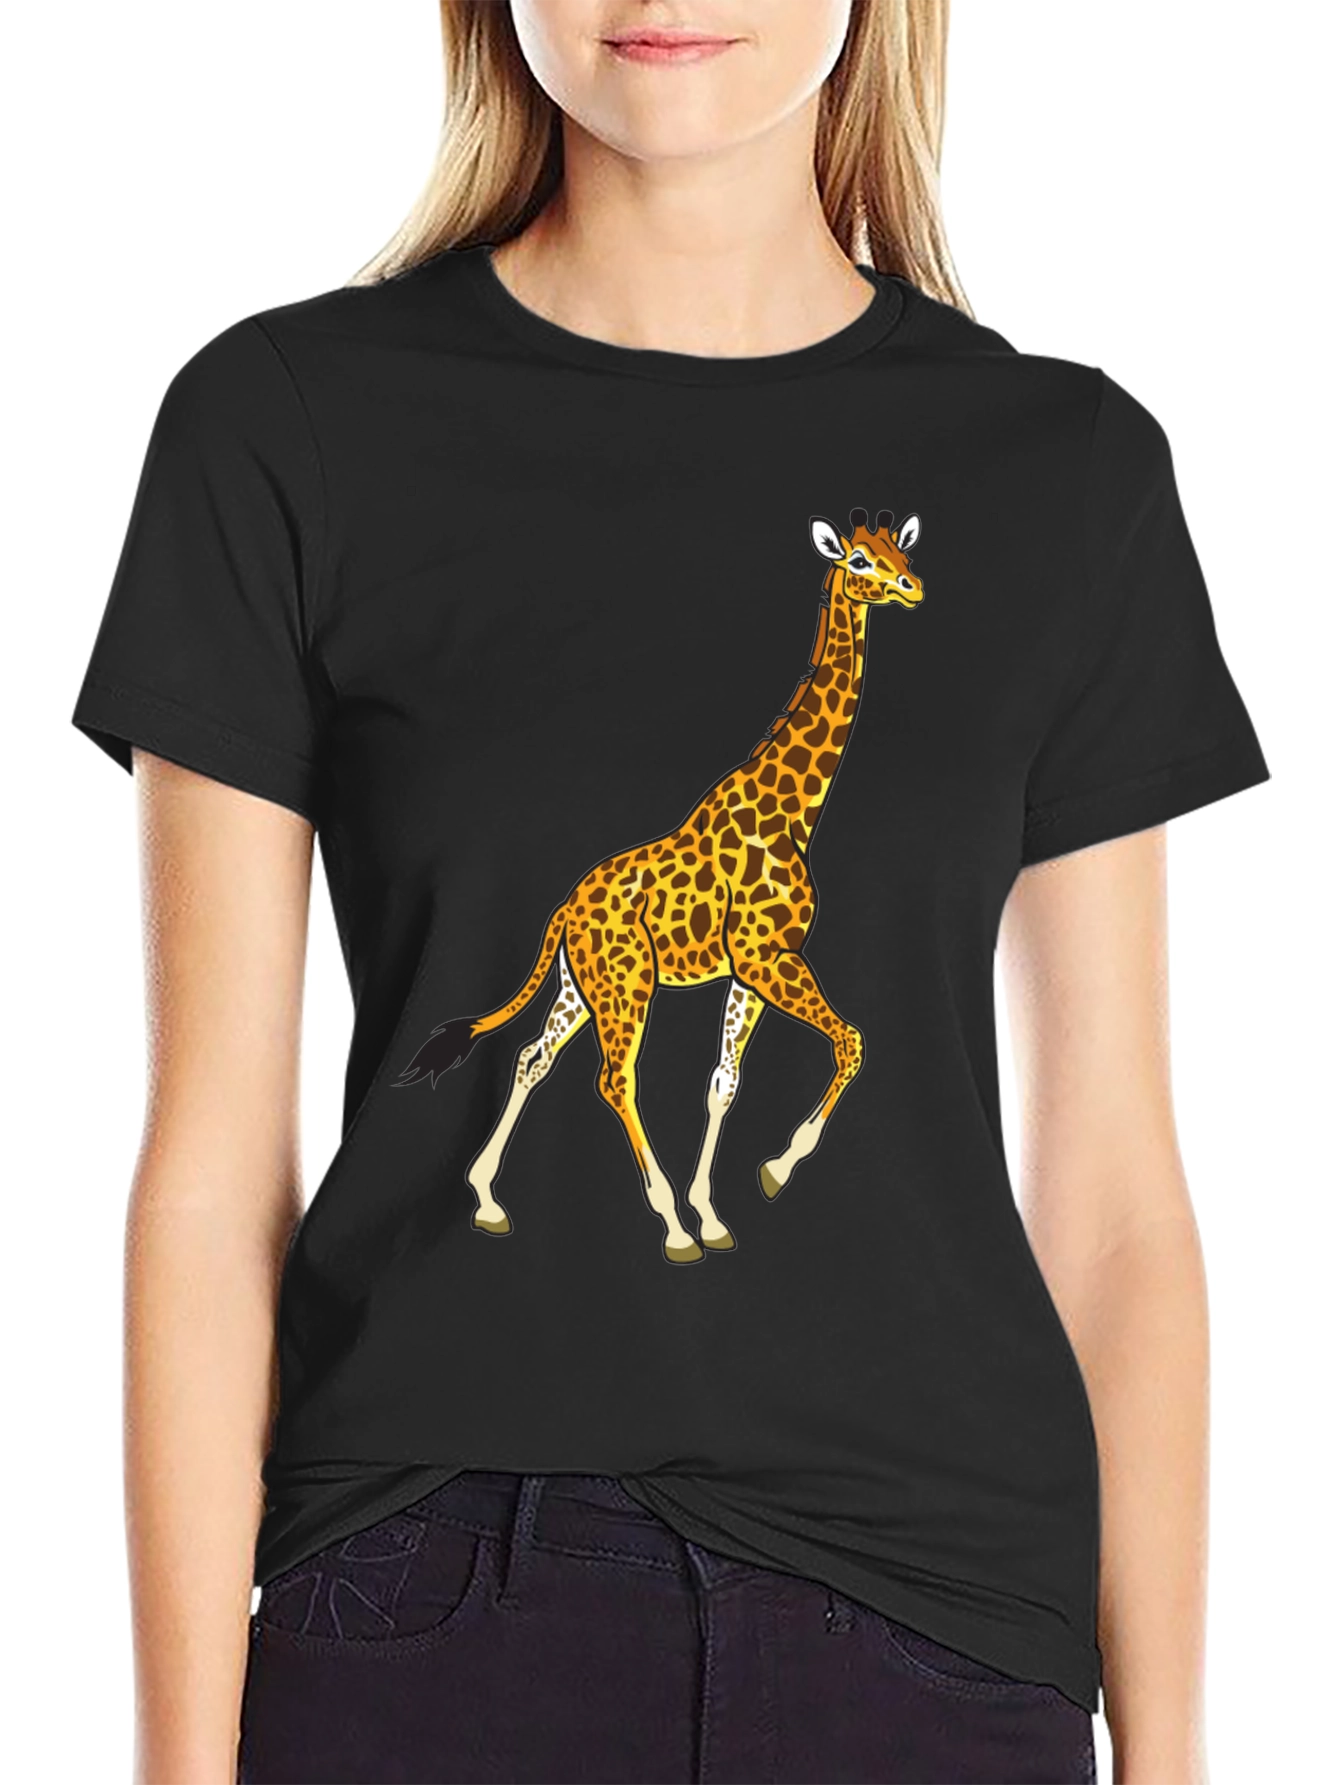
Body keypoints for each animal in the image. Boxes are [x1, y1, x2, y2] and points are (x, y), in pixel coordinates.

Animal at [400, 509, 924, 1262]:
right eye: (859, 561)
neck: (795, 811)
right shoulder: (769, 955)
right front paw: (770, 1172)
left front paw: (714, 1211)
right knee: (615, 1078)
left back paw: (488, 1197)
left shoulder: (751, 970)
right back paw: (668, 1224)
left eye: (899, 552)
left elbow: (723, 1083)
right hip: (628, 984)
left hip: (579, 985)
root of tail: (565, 911)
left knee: (533, 1057)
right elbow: (850, 1040)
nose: (913, 588)